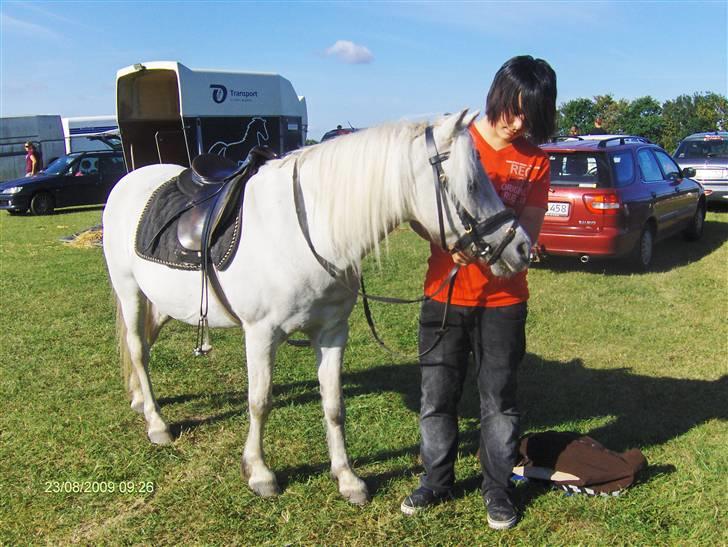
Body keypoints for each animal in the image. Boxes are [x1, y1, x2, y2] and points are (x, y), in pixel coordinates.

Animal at [102, 109, 533, 505]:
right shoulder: (260, 334)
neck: (310, 231)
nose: (521, 247)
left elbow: (334, 404)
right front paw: (259, 472)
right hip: (129, 291)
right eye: (472, 183)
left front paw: (346, 478)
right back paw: (157, 423)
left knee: (145, 344)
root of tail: (128, 181)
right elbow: (260, 402)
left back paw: (140, 399)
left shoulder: (331, 333)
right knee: (138, 350)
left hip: (162, 300)